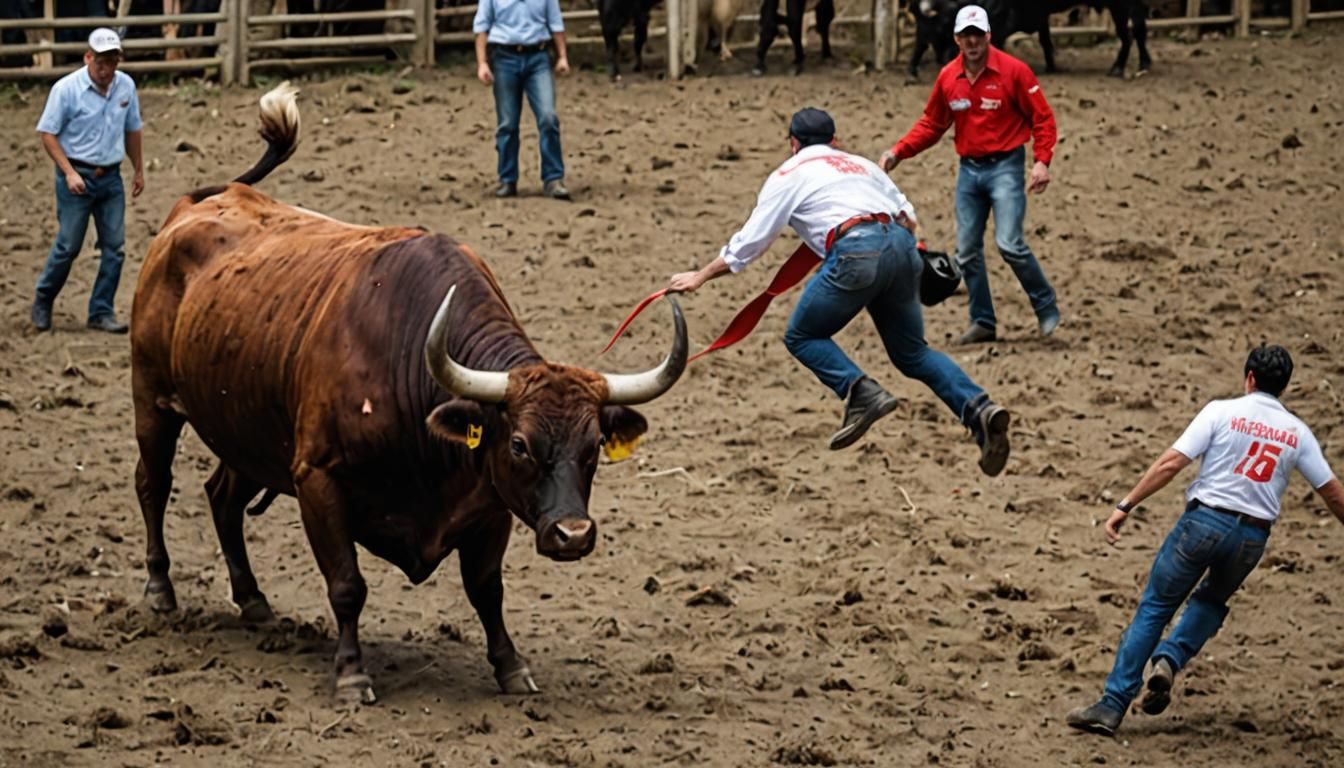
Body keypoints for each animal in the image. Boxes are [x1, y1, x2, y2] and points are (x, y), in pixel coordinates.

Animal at [129, 83, 689, 705]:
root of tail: (202, 202)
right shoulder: (317, 479)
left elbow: (486, 590)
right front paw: (352, 673)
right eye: (519, 444)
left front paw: (510, 666)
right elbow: (347, 584)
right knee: (154, 484)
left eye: (593, 447)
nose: (572, 535)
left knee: (222, 497)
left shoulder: (488, 501)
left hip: (247, 430)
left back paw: (252, 599)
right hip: (152, 402)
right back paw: (160, 588)